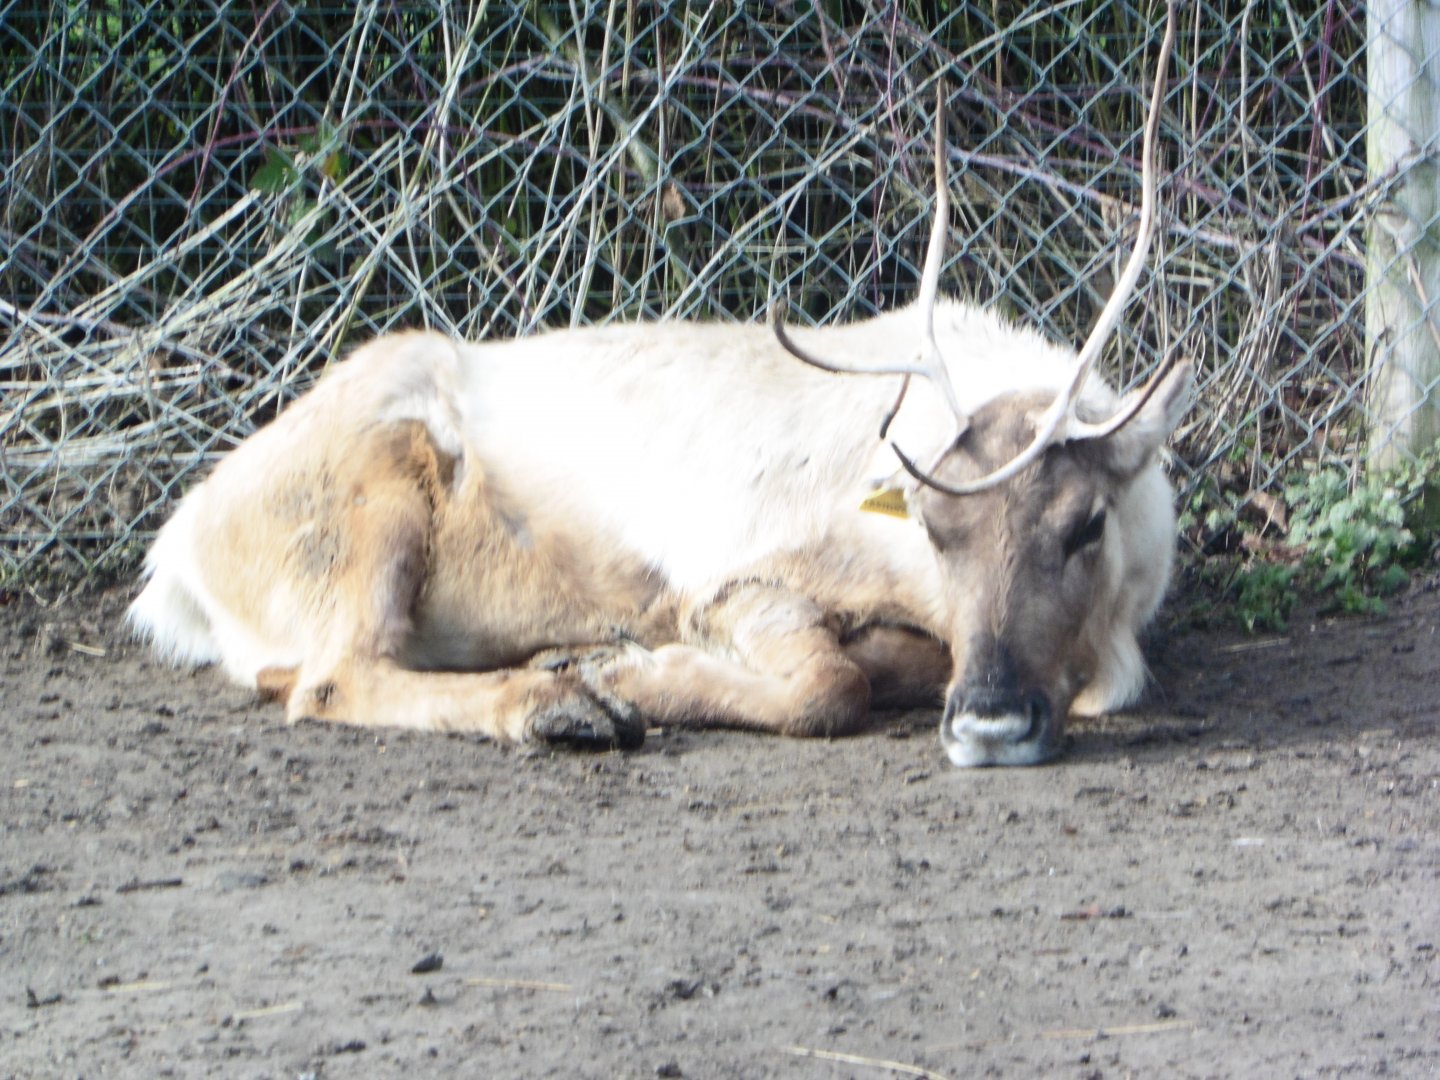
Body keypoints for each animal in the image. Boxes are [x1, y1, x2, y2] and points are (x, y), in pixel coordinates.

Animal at [129, 5, 1185, 767]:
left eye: (1085, 523)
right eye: (933, 525)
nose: (990, 723)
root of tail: (175, 559)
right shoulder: (726, 574)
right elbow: (824, 686)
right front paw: (631, 673)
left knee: (296, 672)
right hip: (374, 489)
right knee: (332, 676)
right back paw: (561, 705)